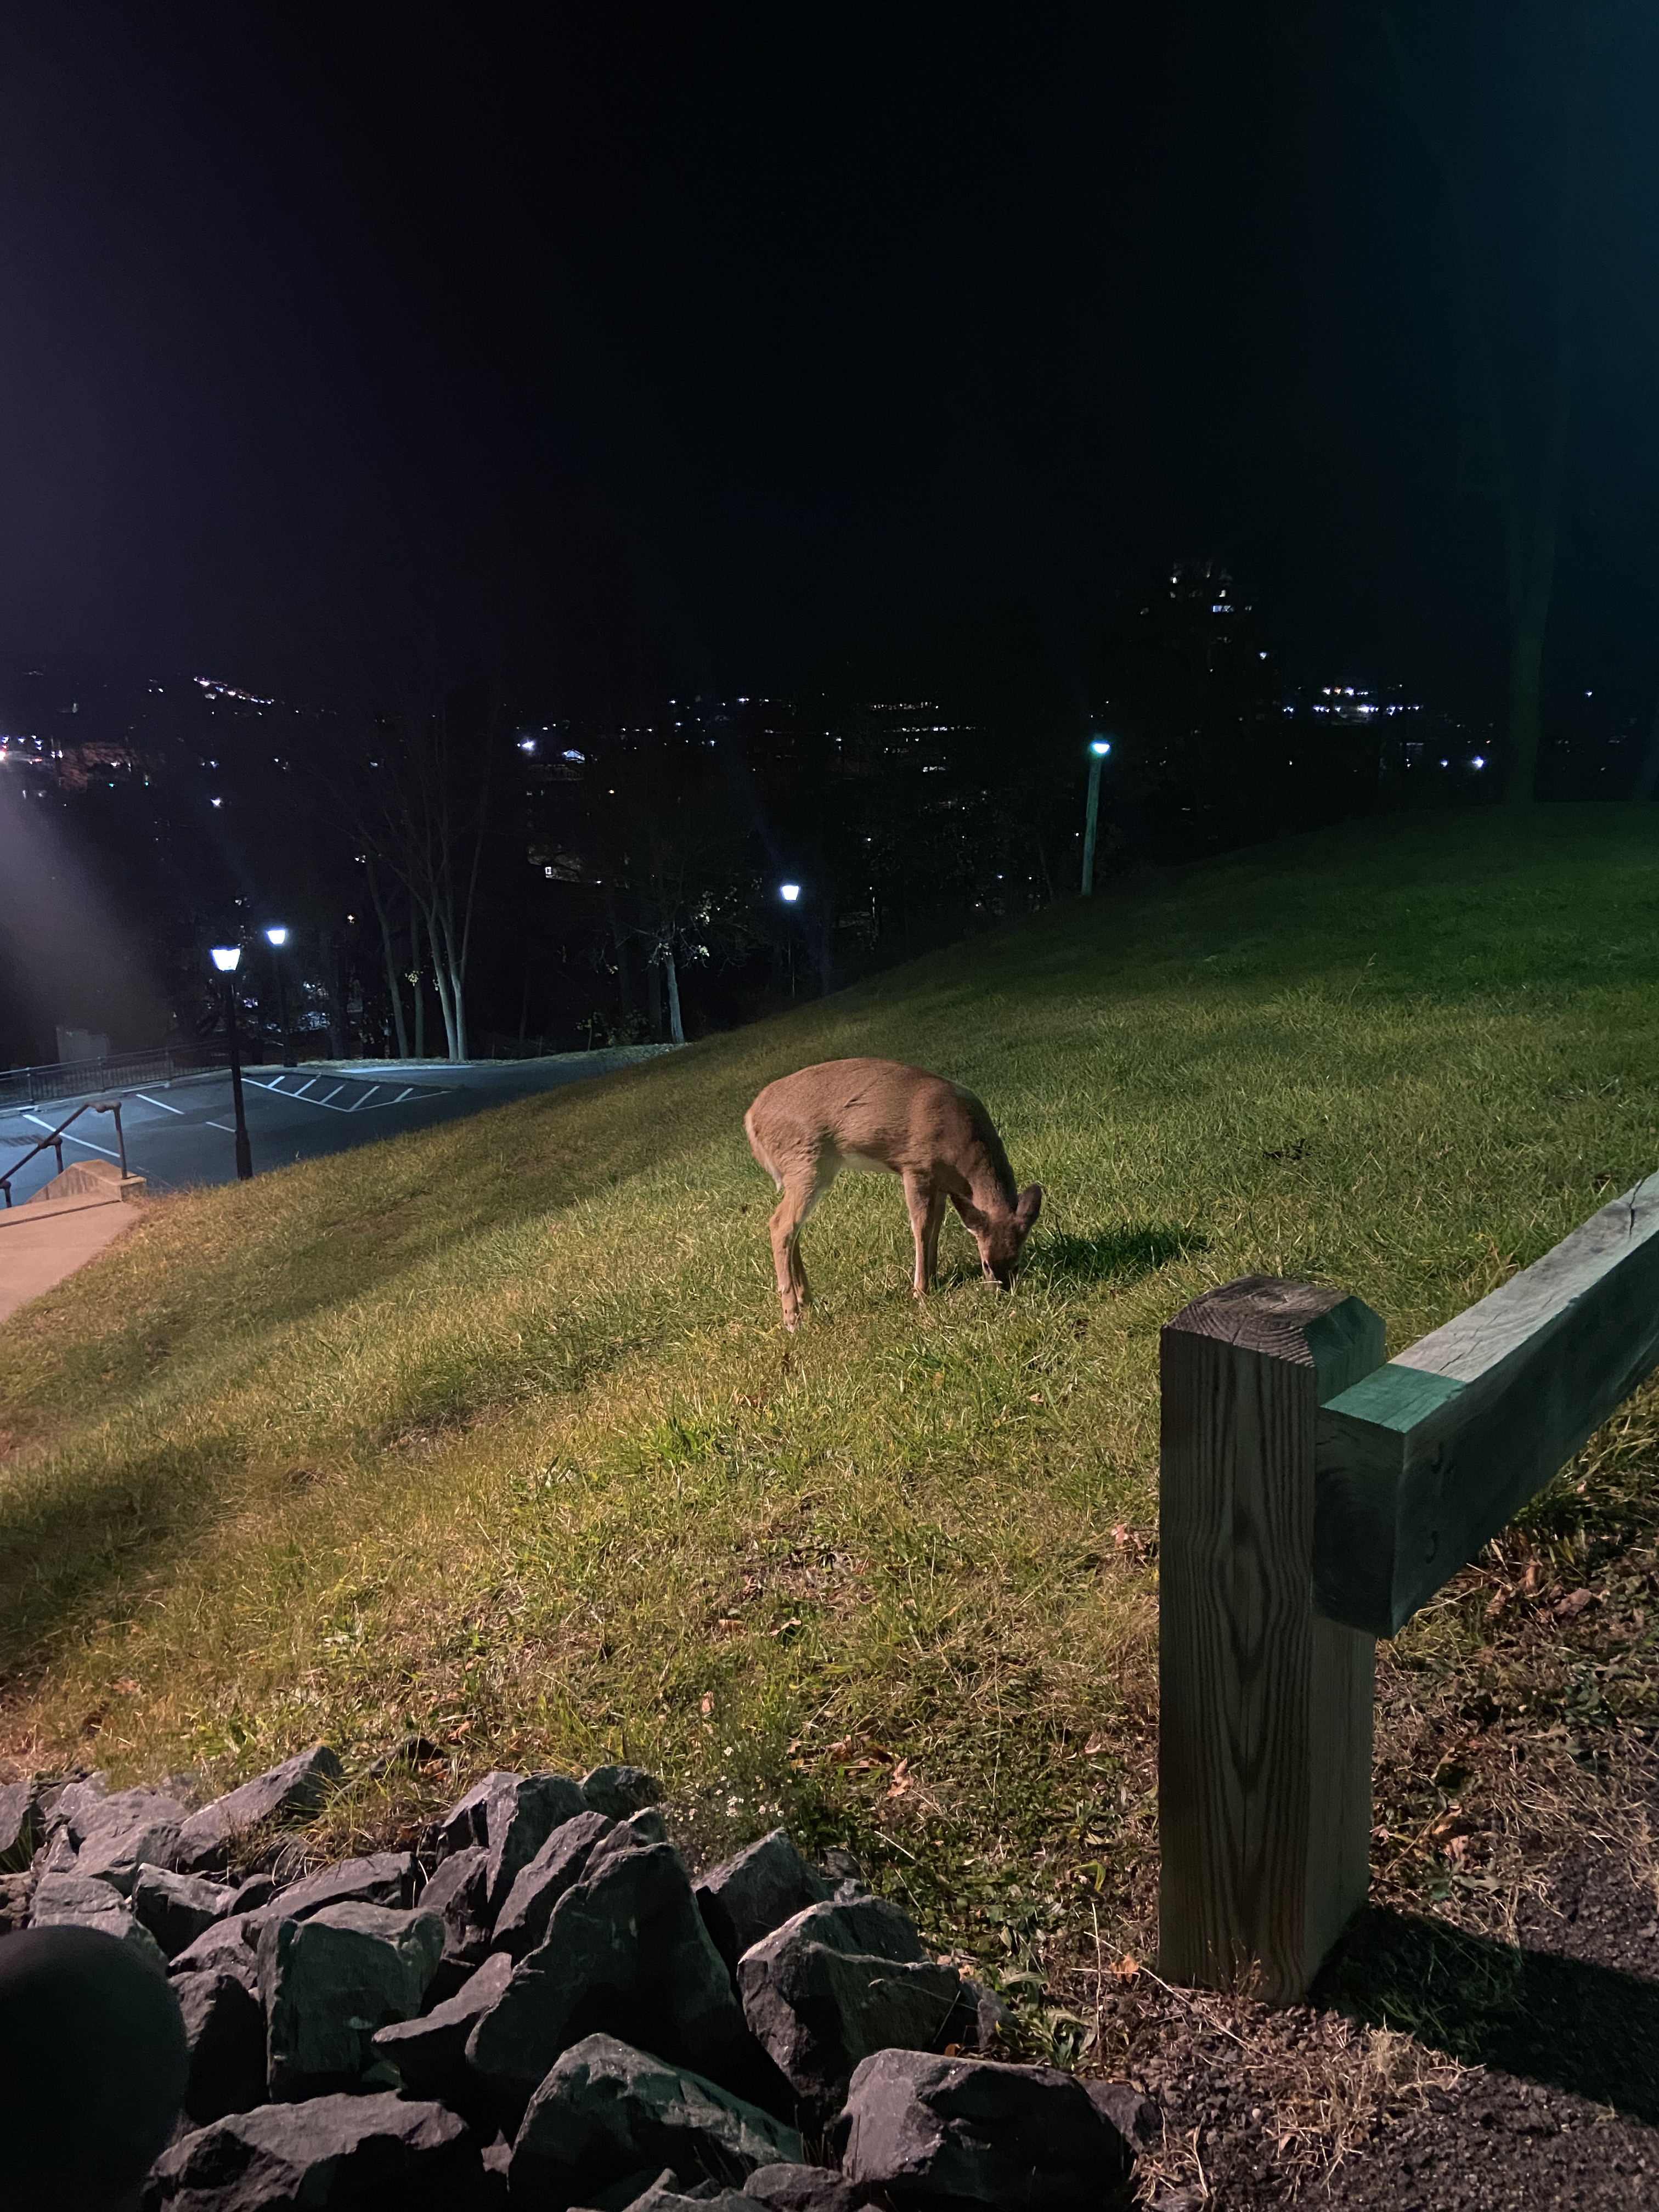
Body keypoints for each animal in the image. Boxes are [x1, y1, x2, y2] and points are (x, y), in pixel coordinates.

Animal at [744, 1057, 1043, 1330]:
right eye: (985, 1264)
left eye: (1017, 1263)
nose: (1001, 1293)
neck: (963, 1155)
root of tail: (751, 1119)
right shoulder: (915, 1167)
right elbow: (921, 1226)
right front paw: (921, 1292)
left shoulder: (940, 1185)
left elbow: (936, 1225)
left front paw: (934, 1277)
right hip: (806, 1163)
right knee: (781, 1225)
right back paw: (792, 1318)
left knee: (794, 1229)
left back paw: (807, 1299)